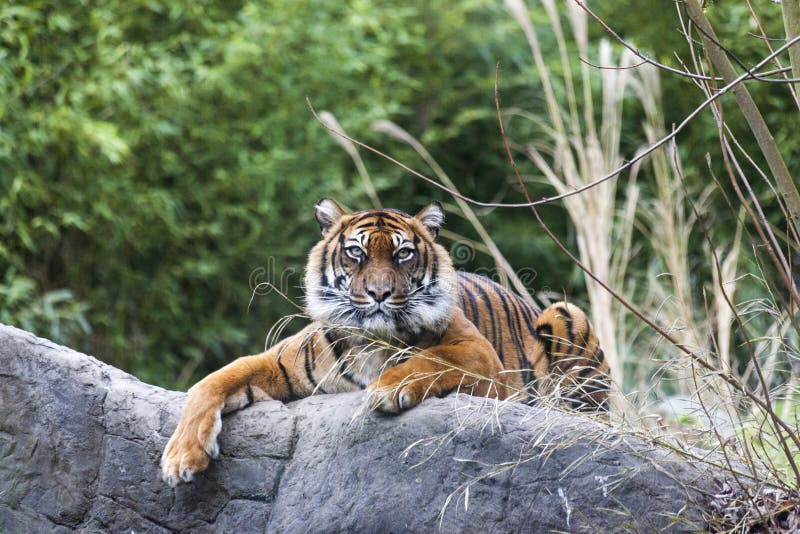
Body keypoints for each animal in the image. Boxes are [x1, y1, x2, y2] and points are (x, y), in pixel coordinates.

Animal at [159, 199, 608, 488]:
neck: (371, 338)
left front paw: (388, 388)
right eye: (356, 253)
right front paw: (181, 456)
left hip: (566, 314)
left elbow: (431, 360)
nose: (378, 293)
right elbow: (213, 381)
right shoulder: (278, 362)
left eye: (403, 254)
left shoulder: (481, 356)